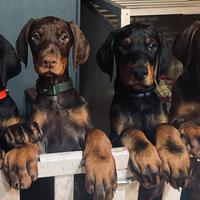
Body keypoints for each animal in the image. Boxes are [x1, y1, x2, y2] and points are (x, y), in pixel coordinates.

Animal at [1, 16, 115, 200]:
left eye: (64, 37)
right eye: (35, 36)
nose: (48, 61)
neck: (55, 93)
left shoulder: (83, 128)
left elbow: (96, 131)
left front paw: (101, 167)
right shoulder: (40, 133)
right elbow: (28, 135)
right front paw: (20, 156)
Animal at [96, 23, 189, 200]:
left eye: (152, 46)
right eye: (123, 46)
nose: (139, 72)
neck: (138, 98)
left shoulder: (161, 121)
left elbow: (165, 127)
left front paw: (175, 156)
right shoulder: (115, 138)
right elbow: (132, 130)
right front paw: (146, 159)